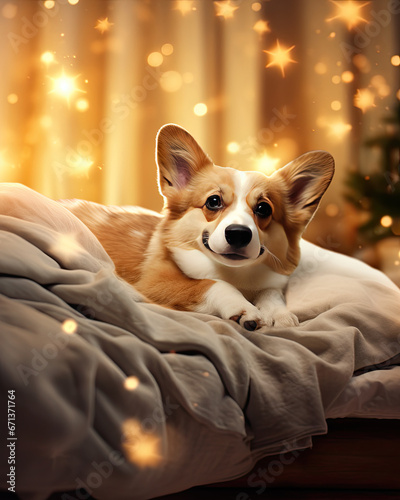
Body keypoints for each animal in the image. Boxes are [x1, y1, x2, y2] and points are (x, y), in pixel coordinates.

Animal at [64, 123, 334, 330]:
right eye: (213, 201)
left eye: (264, 209)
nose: (238, 234)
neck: (235, 273)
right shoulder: (155, 282)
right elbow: (211, 284)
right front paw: (243, 308)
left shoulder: (270, 283)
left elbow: (271, 292)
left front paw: (279, 315)